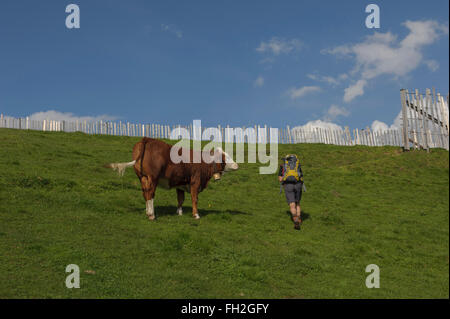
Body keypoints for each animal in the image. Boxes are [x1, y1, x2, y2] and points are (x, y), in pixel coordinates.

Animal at [106, 138, 239, 220]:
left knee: (145, 194)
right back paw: (151, 215)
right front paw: (196, 215)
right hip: (152, 178)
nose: (237, 165)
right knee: (150, 194)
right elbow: (194, 199)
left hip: (142, 177)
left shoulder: (180, 183)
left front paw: (179, 213)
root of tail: (147, 139)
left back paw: (147, 212)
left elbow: (180, 199)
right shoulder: (195, 182)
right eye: (225, 157)